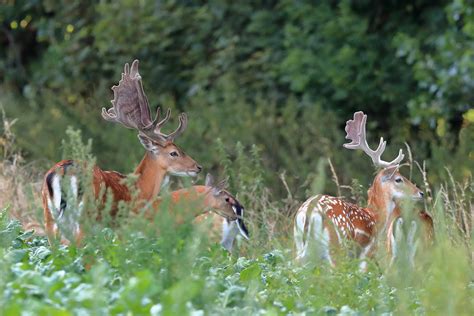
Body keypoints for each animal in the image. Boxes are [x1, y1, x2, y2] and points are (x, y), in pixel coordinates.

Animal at [41, 60, 202, 246]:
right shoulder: (123, 226)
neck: (139, 190)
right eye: (174, 153)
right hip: (84, 216)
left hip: (48, 214)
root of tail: (64, 171)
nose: (198, 167)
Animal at [294, 110, 424, 270]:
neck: (375, 218)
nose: (420, 193)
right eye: (398, 179)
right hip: (337, 246)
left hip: (299, 244)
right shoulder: (368, 252)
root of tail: (309, 212)